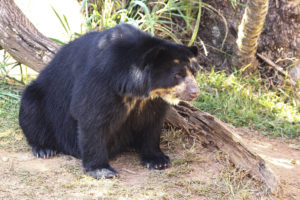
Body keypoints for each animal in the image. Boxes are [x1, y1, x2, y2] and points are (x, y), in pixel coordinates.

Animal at [18, 23, 199, 178]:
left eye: (193, 72)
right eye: (178, 74)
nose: (194, 92)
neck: (136, 90)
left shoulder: (152, 101)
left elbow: (152, 122)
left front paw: (158, 160)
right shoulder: (101, 79)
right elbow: (91, 116)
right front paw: (102, 170)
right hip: (39, 98)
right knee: (31, 111)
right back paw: (44, 149)